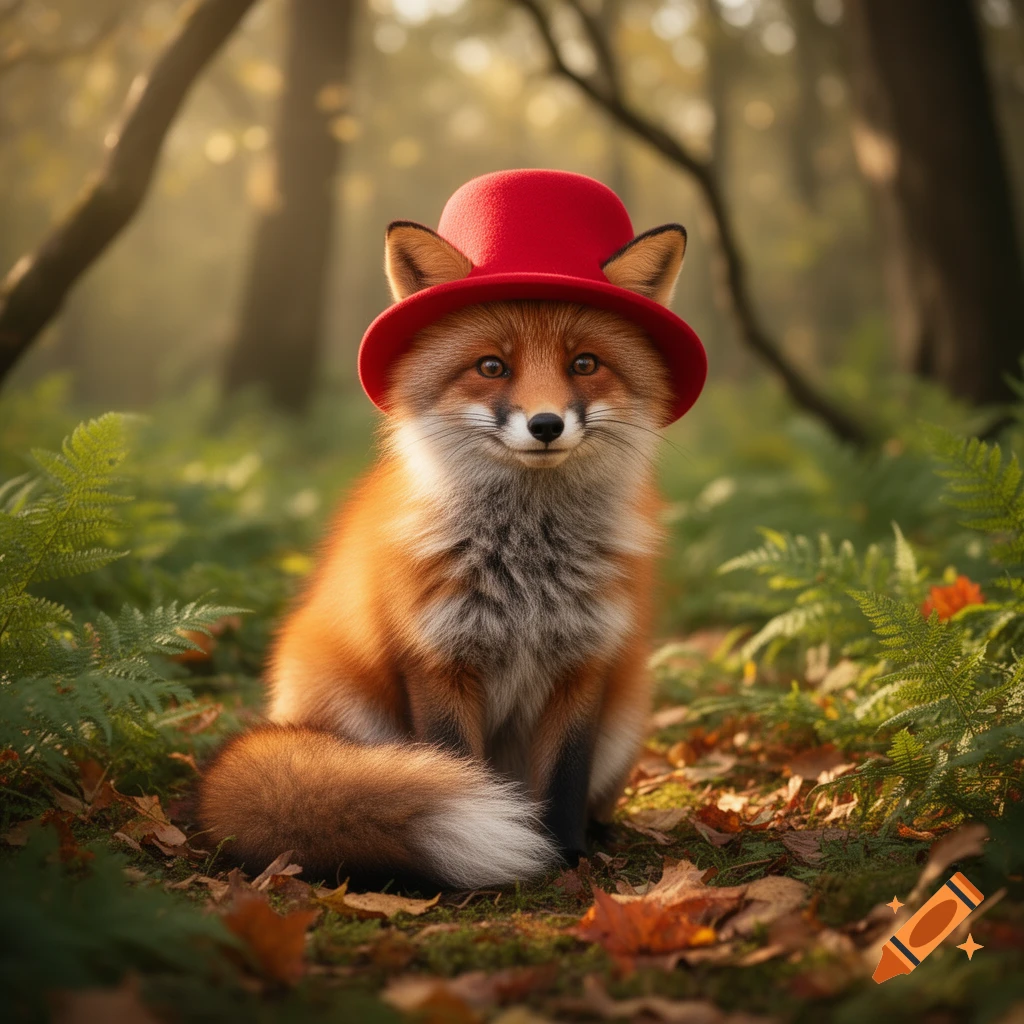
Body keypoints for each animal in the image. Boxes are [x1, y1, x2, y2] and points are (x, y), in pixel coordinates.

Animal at [198, 216, 688, 889]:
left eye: (585, 363)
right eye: (492, 366)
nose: (545, 425)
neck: (528, 567)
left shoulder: (583, 661)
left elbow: (565, 779)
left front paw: (565, 856)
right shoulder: (436, 659)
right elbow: (456, 766)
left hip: (628, 711)